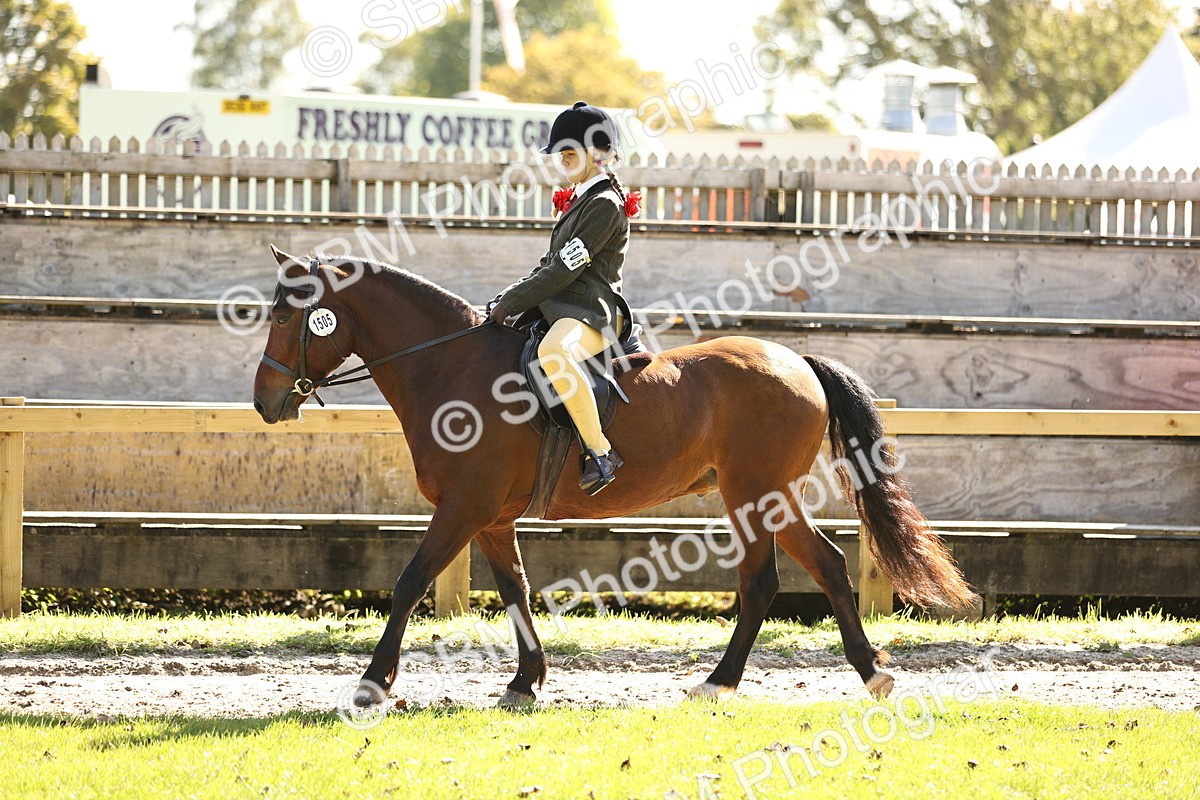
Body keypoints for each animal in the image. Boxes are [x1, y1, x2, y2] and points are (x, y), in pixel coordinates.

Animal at [252, 245, 975, 708]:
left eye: (287, 315)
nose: (265, 401)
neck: (451, 365)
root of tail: (795, 359)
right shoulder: (490, 517)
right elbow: (514, 591)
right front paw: (526, 681)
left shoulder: (461, 508)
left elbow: (407, 584)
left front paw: (373, 683)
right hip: (764, 497)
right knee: (814, 567)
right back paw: (859, 674)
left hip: (754, 494)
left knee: (768, 580)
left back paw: (727, 680)